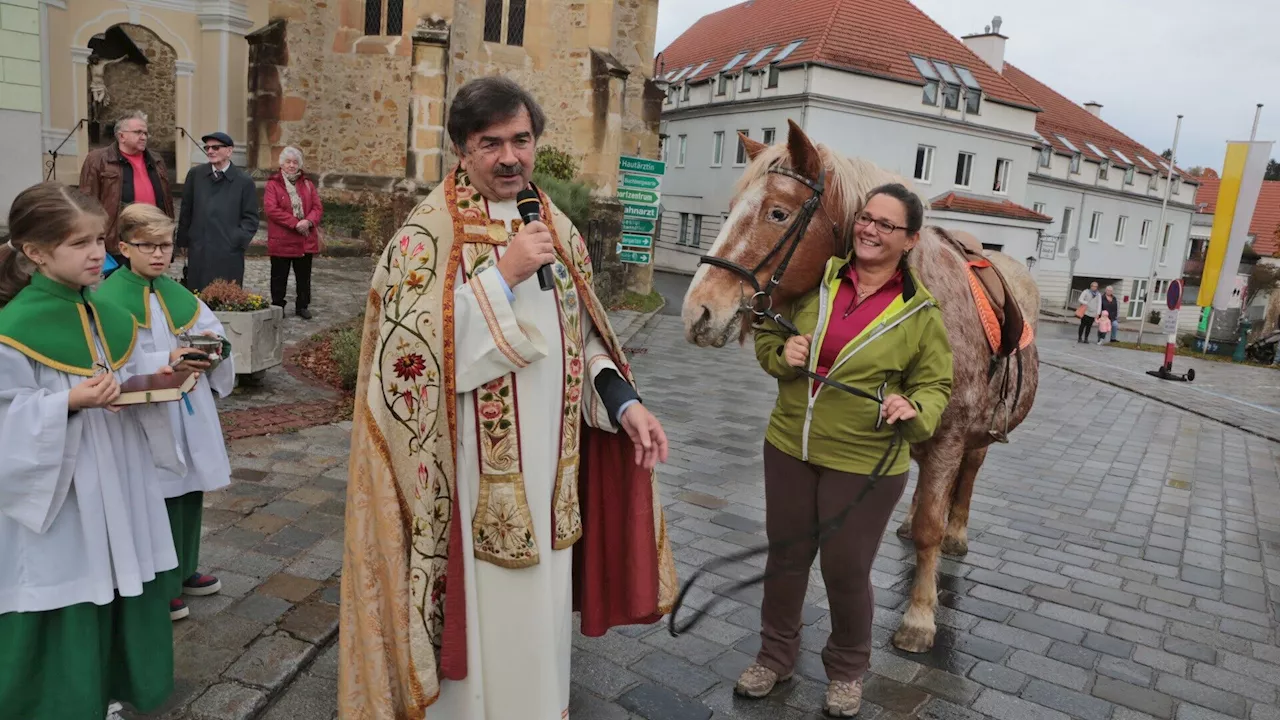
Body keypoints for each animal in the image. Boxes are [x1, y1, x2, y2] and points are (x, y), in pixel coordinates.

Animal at [680, 119, 1039, 650]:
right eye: (729, 210)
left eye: (778, 212)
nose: (698, 312)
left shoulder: (951, 438)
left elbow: (933, 525)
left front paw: (919, 617)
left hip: (976, 438)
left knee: (967, 476)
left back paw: (956, 532)